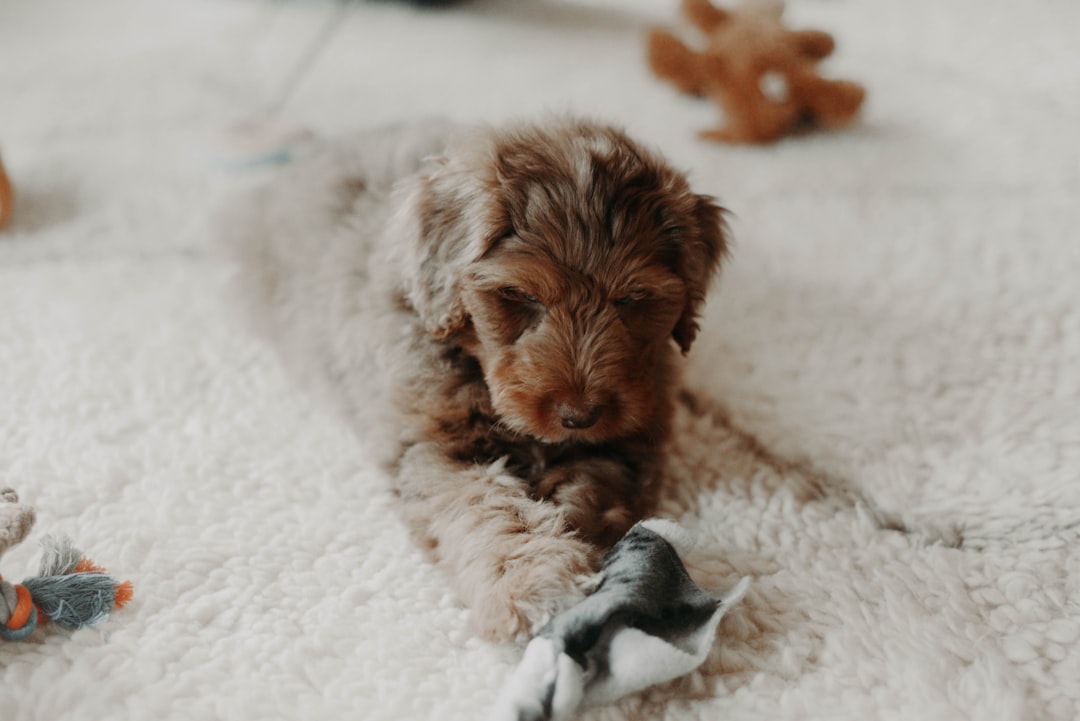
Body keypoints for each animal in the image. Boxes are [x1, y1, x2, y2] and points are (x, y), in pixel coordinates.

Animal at [219, 118, 725, 643]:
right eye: (520, 295)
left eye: (631, 299)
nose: (578, 416)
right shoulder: (436, 446)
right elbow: (488, 508)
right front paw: (532, 580)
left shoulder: (631, 439)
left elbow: (593, 489)